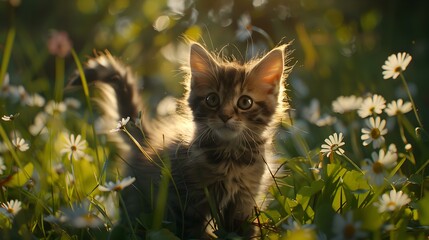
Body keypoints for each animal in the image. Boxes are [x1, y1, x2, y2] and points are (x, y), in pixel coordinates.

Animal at [70, 42, 290, 239]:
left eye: (245, 102)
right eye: (212, 99)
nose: (225, 116)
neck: (230, 158)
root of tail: (147, 141)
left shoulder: (245, 201)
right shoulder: (187, 201)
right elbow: (195, 233)